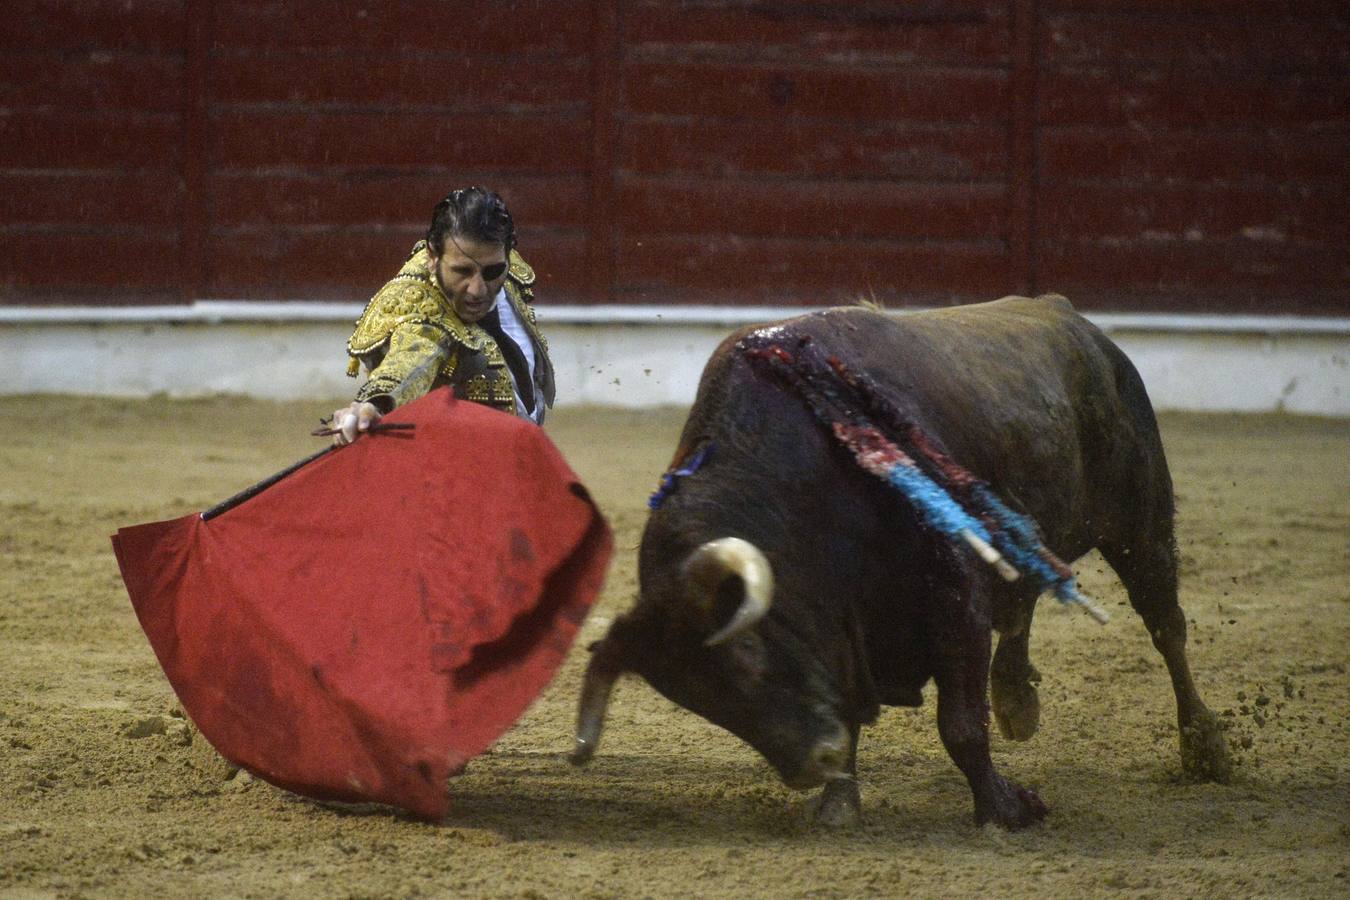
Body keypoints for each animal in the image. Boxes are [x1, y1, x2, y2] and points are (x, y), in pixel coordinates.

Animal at [569, 296, 1236, 831]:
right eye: (698, 701)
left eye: (751, 654)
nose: (812, 764)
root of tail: (1073, 319)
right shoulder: (848, 625)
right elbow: (851, 707)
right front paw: (839, 805)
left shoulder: (955, 594)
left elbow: (960, 724)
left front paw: (1005, 810)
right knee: (1026, 598)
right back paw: (1017, 698)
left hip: (1140, 523)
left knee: (1165, 626)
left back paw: (1205, 748)